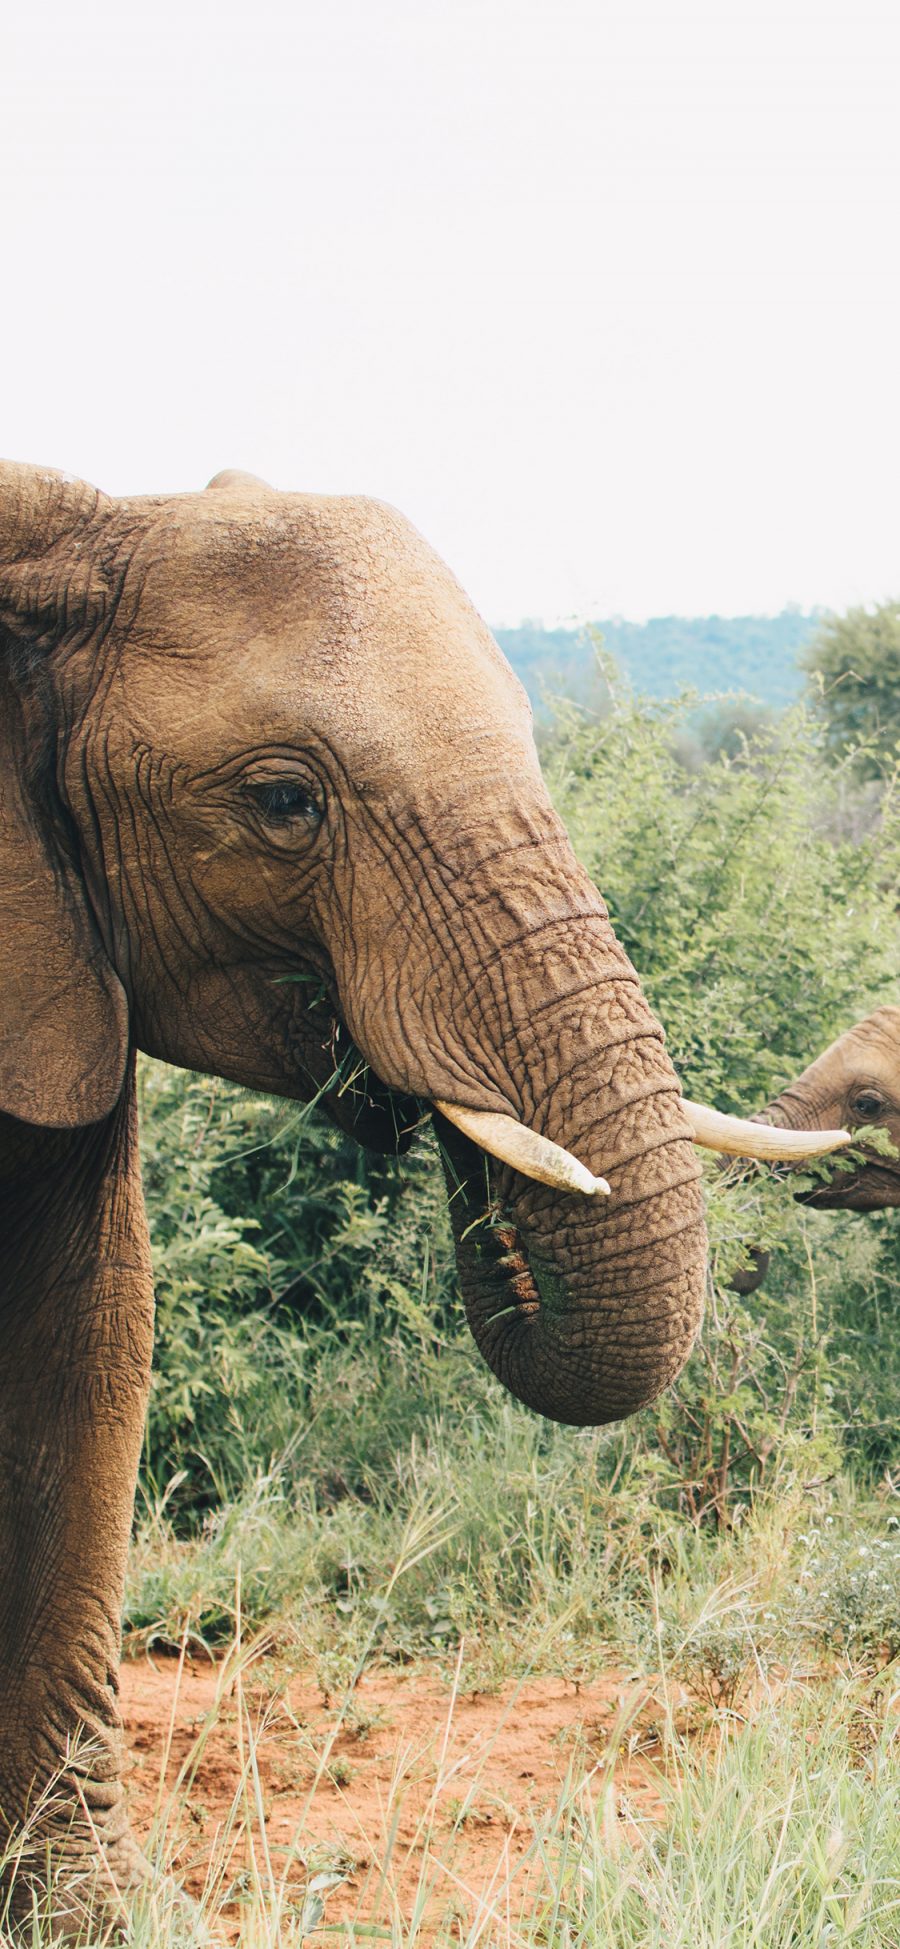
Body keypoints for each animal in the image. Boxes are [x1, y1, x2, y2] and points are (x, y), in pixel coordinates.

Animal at [0, 459, 845, 1933]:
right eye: (285, 803)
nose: (488, 1213)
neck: (80, 524)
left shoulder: (65, 964)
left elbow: (88, 1339)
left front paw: (84, 1919)